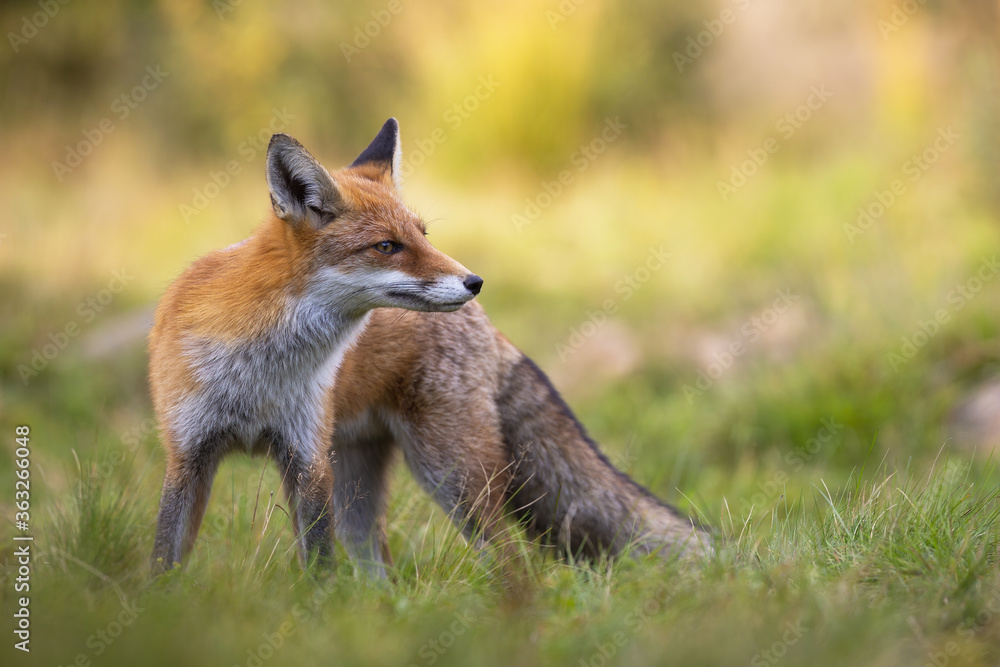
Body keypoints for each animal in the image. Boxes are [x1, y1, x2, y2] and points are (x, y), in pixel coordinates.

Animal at [150, 118, 712, 576]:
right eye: (387, 246)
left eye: (422, 235)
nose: (474, 281)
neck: (259, 372)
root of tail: (491, 329)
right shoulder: (188, 454)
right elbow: (166, 557)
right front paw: (160, 609)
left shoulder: (305, 459)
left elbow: (320, 569)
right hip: (359, 482)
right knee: (379, 564)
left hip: (449, 473)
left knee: (510, 559)